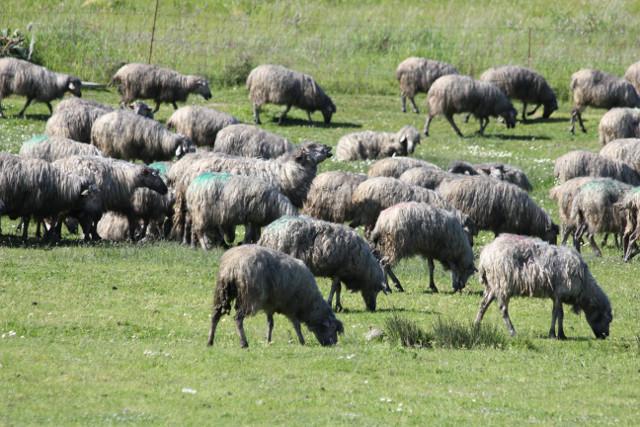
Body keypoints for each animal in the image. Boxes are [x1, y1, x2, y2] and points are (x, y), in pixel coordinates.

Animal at [207, 244, 344, 348]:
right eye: (333, 329)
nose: (333, 344)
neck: (309, 304)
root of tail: (233, 265)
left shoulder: (270, 306)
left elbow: (270, 324)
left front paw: (268, 340)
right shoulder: (292, 307)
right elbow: (297, 325)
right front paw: (302, 341)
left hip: (222, 293)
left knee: (215, 316)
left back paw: (210, 341)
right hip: (249, 298)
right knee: (238, 319)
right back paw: (244, 343)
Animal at [258, 215, 386, 312]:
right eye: (377, 290)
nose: (373, 308)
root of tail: (267, 232)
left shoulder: (336, 272)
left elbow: (338, 288)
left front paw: (338, 306)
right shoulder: (340, 270)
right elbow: (334, 288)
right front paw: (330, 303)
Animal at [475, 234, 612, 339]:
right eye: (607, 319)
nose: (605, 336)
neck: (584, 286)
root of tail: (485, 254)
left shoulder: (556, 295)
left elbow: (559, 314)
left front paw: (561, 334)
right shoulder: (559, 293)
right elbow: (557, 314)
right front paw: (554, 334)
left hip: (492, 285)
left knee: (483, 304)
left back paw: (476, 325)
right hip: (503, 284)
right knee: (503, 309)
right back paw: (512, 331)